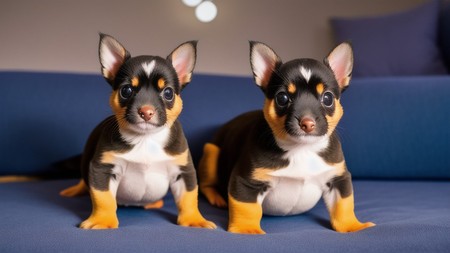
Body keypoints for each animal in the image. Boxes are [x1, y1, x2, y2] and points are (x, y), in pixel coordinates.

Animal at [60, 32, 215, 230]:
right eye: (126, 90)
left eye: (168, 93)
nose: (146, 111)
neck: (145, 138)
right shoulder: (103, 169)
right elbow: (103, 199)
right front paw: (102, 220)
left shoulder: (183, 172)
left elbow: (188, 198)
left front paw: (194, 220)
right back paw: (74, 190)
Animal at [199, 41, 374, 233]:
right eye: (282, 98)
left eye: (327, 98)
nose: (307, 122)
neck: (302, 149)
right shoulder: (246, 182)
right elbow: (247, 208)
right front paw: (247, 229)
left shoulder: (338, 180)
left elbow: (343, 205)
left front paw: (352, 226)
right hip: (211, 153)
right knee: (206, 185)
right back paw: (217, 198)